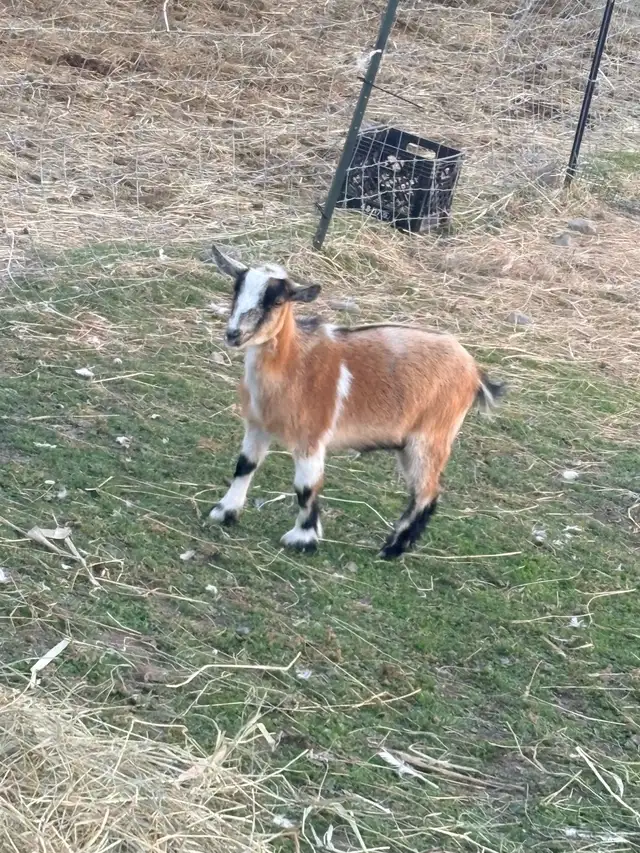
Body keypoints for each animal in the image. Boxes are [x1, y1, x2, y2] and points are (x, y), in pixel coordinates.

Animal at [206, 245, 504, 559]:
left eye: (277, 301)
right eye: (236, 290)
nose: (234, 334)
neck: (294, 362)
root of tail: (474, 371)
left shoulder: (311, 437)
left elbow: (306, 487)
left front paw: (302, 538)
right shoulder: (258, 426)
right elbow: (245, 465)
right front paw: (224, 512)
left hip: (431, 437)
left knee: (427, 491)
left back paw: (392, 548)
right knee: (421, 490)